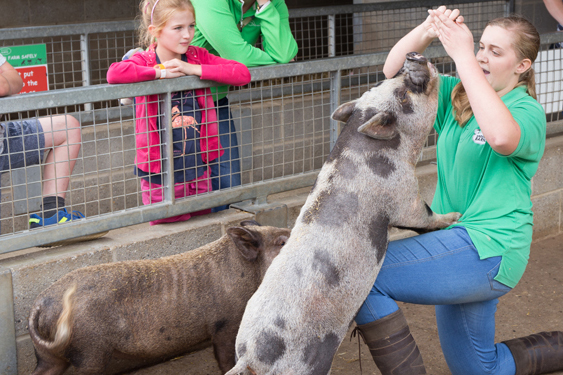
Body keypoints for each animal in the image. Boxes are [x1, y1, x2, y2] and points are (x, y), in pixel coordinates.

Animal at [28, 220, 288, 375]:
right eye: (282, 242)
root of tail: (40, 303)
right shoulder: (224, 324)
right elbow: (226, 359)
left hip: (49, 355)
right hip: (90, 351)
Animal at [226, 53, 462, 375]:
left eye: (385, 81)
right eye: (402, 95)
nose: (414, 56)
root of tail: (250, 359)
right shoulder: (403, 195)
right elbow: (423, 216)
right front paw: (456, 216)